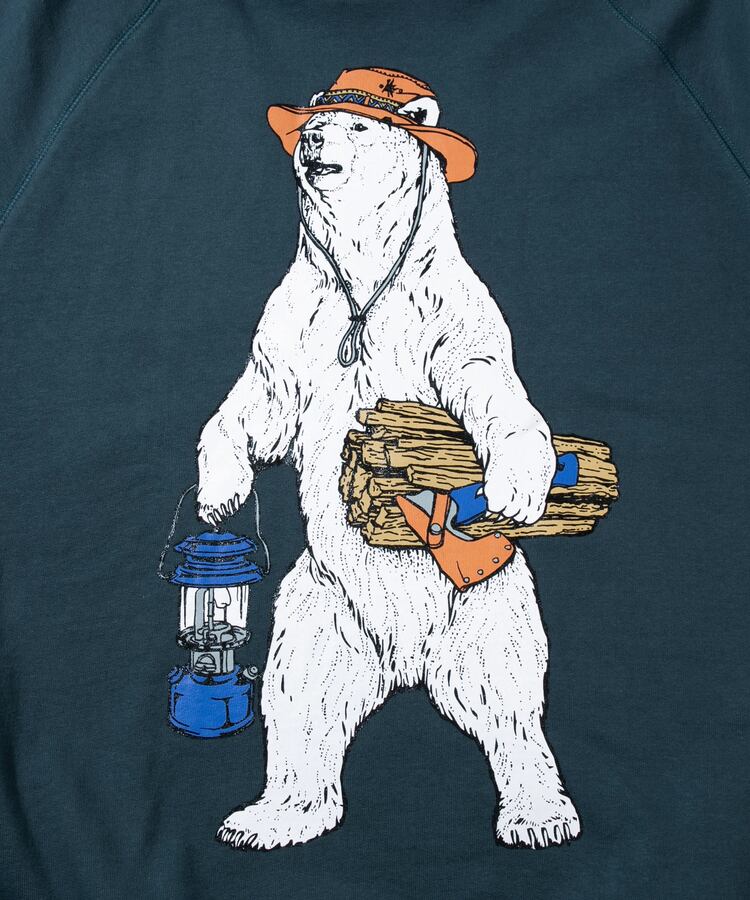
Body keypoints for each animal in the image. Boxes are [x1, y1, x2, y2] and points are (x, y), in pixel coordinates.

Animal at [196, 77, 581, 850]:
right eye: (316, 119)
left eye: (357, 125)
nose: (312, 139)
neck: (366, 273)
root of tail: (406, 661)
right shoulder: (300, 321)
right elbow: (259, 401)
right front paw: (218, 493)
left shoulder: (445, 314)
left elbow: (487, 384)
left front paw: (519, 483)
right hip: (319, 610)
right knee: (301, 701)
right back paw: (272, 814)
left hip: (487, 607)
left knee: (508, 701)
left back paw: (539, 812)